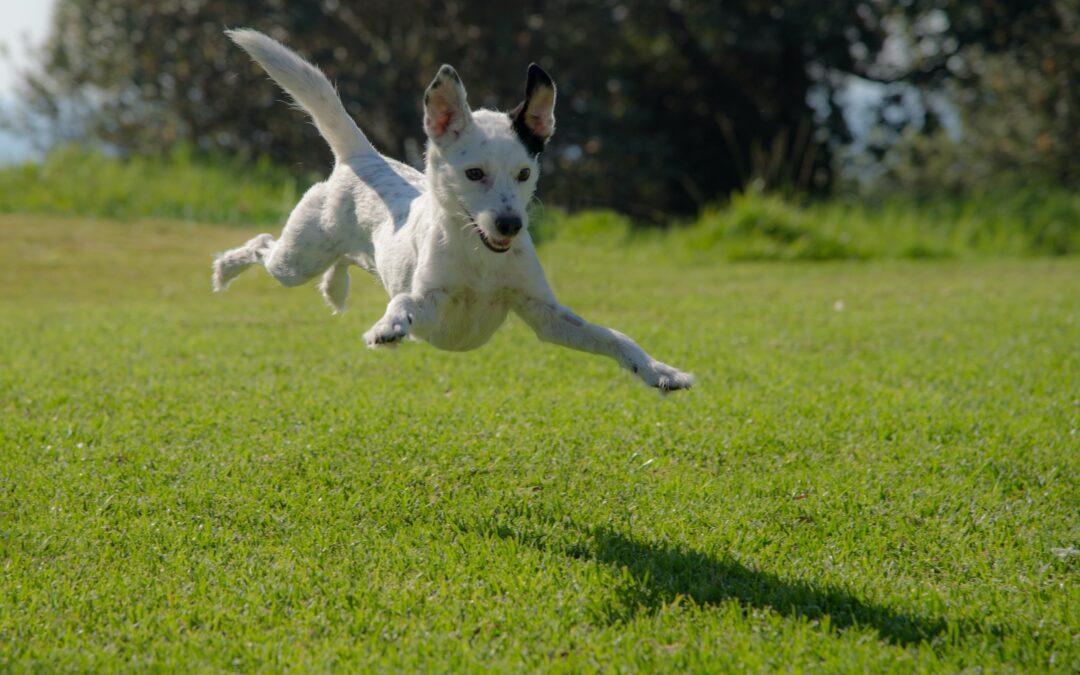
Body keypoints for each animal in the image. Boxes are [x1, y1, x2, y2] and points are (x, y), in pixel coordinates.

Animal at [212, 30, 691, 388]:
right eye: (474, 173)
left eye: (524, 173)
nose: (510, 224)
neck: (480, 260)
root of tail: (363, 157)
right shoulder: (431, 302)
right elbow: (404, 301)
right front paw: (388, 327)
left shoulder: (546, 315)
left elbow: (614, 337)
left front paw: (659, 371)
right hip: (296, 259)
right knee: (263, 244)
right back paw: (225, 270)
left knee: (341, 260)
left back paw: (334, 287)